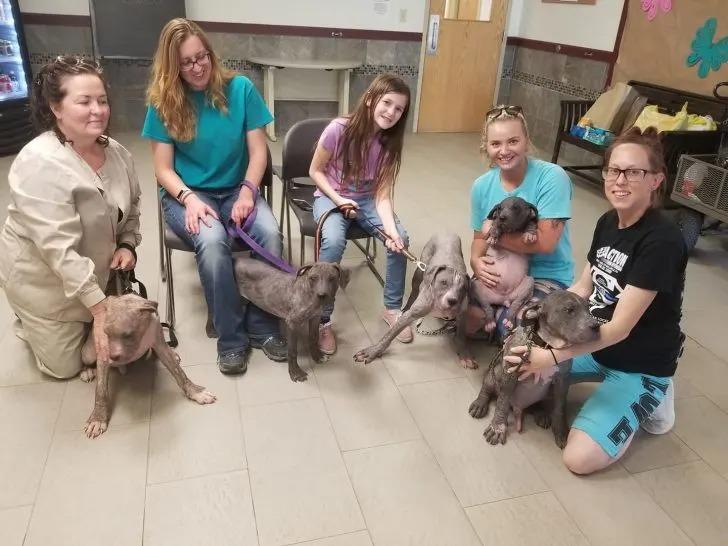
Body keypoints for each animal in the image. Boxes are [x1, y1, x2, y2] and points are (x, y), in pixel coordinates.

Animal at [82, 294, 218, 438]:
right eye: (106, 333)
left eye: (128, 334)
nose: (112, 357)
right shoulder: (102, 354)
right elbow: (100, 391)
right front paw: (97, 418)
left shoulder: (160, 345)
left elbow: (179, 373)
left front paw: (196, 392)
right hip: (88, 353)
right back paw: (86, 371)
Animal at [470, 196, 536, 332]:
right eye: (499, 208)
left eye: (516, 208)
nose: (502, 217)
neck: (511, 230)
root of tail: (503, 299)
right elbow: (495, 224)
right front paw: (494, 233)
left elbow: (531, 222)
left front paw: (530, 232)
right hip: (476, 285)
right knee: (487, 307)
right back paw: (490, 322)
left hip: (529, 283)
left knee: (515, 306)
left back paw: (509, 320)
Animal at [470, 288, 600, 446]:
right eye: (569, 310)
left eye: (588, 310)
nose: (596, 326)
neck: (546, 347)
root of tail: (519, 409)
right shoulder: (510, 373)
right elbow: (502, 402)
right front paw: (498, 427)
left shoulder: (562, 380)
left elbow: (560, 408)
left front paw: (561, 430)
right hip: (494, 372)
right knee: (486, 388)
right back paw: (479, 404)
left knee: (540, 403)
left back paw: (541, 413)